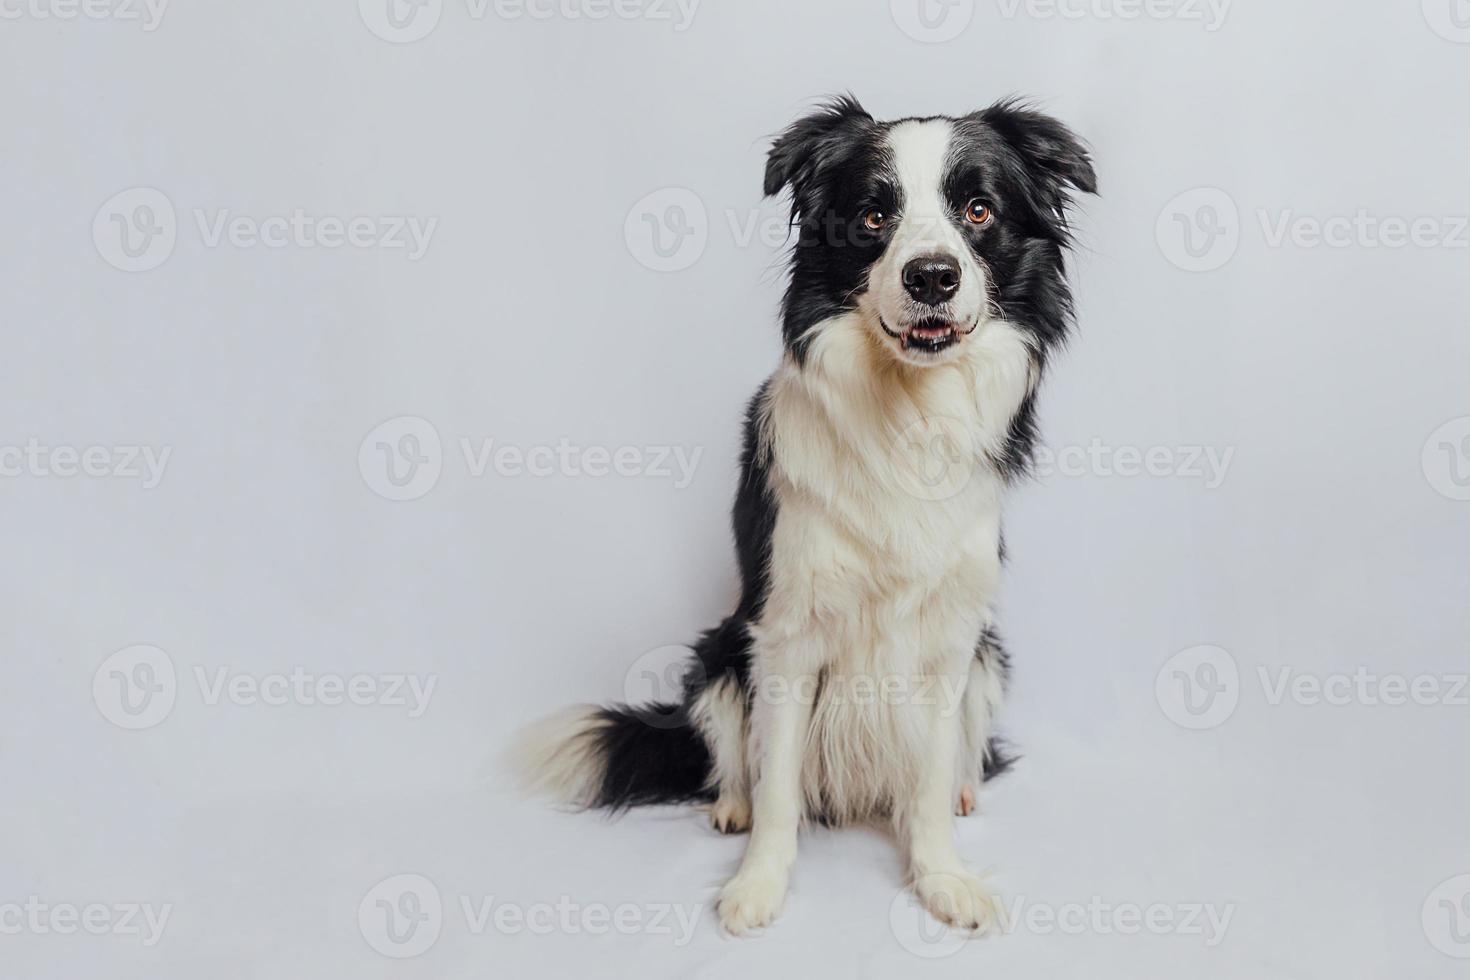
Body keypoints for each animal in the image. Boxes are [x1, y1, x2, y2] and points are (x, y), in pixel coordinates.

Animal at [511, 95, 1099, 940]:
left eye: (979, 210)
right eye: (874, 215)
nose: (932, 276)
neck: (908, 411)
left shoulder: (950, 638)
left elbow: (924, 784)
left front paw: (942, 879)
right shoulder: (785, 634)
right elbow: (780, 786)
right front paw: (758, 884)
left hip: (989, 658)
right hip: (719, 653)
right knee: (736, 759)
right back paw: (730, 806)